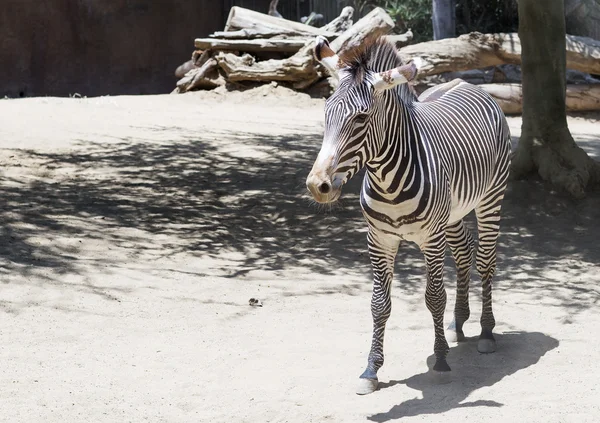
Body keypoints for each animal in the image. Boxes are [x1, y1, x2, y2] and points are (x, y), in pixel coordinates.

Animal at [304, 37, 510, 398]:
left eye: (361, 118)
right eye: (325, 114)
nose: (318, 186)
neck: (388, 182)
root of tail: (469, 83)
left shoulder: (431, 238)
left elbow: (434, 297)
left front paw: (441, 362)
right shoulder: (379, 239)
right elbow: (379, 303)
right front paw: (371, 369)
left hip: (490, 198)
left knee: (485, 260)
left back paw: (486, 332)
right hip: (453, 215)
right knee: (464, 254)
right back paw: (459, 322)